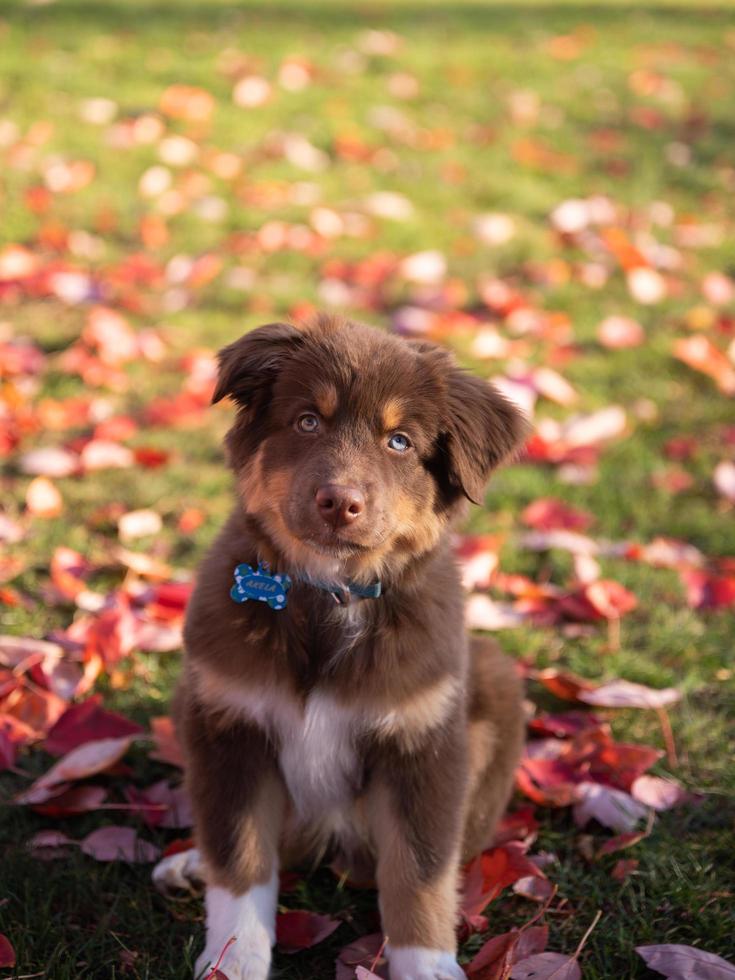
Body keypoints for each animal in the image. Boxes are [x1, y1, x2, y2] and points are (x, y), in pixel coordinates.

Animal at [169, 314, 528, 980]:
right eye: (309, 421)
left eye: (400, 442)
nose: (339, 503)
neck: (329, 595)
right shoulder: (229, 729)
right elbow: (239, 859)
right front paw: (232, 957)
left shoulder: (424, 743)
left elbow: (418, 872)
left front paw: (427, 965)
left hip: (493, 678)